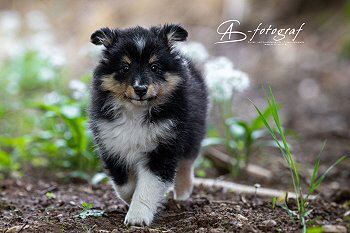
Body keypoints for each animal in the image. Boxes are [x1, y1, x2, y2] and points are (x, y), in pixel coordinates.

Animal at [88, 24, 208, 226]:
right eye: (125, 67)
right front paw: (132, 201)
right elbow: (124, 185)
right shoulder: (111, 145)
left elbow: (148, 186)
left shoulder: (163, 149)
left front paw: (137, 217)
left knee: (187, 161)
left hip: (194, 130)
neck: (136, 112)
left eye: (154, 67)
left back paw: (183, 191)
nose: (140, 89)